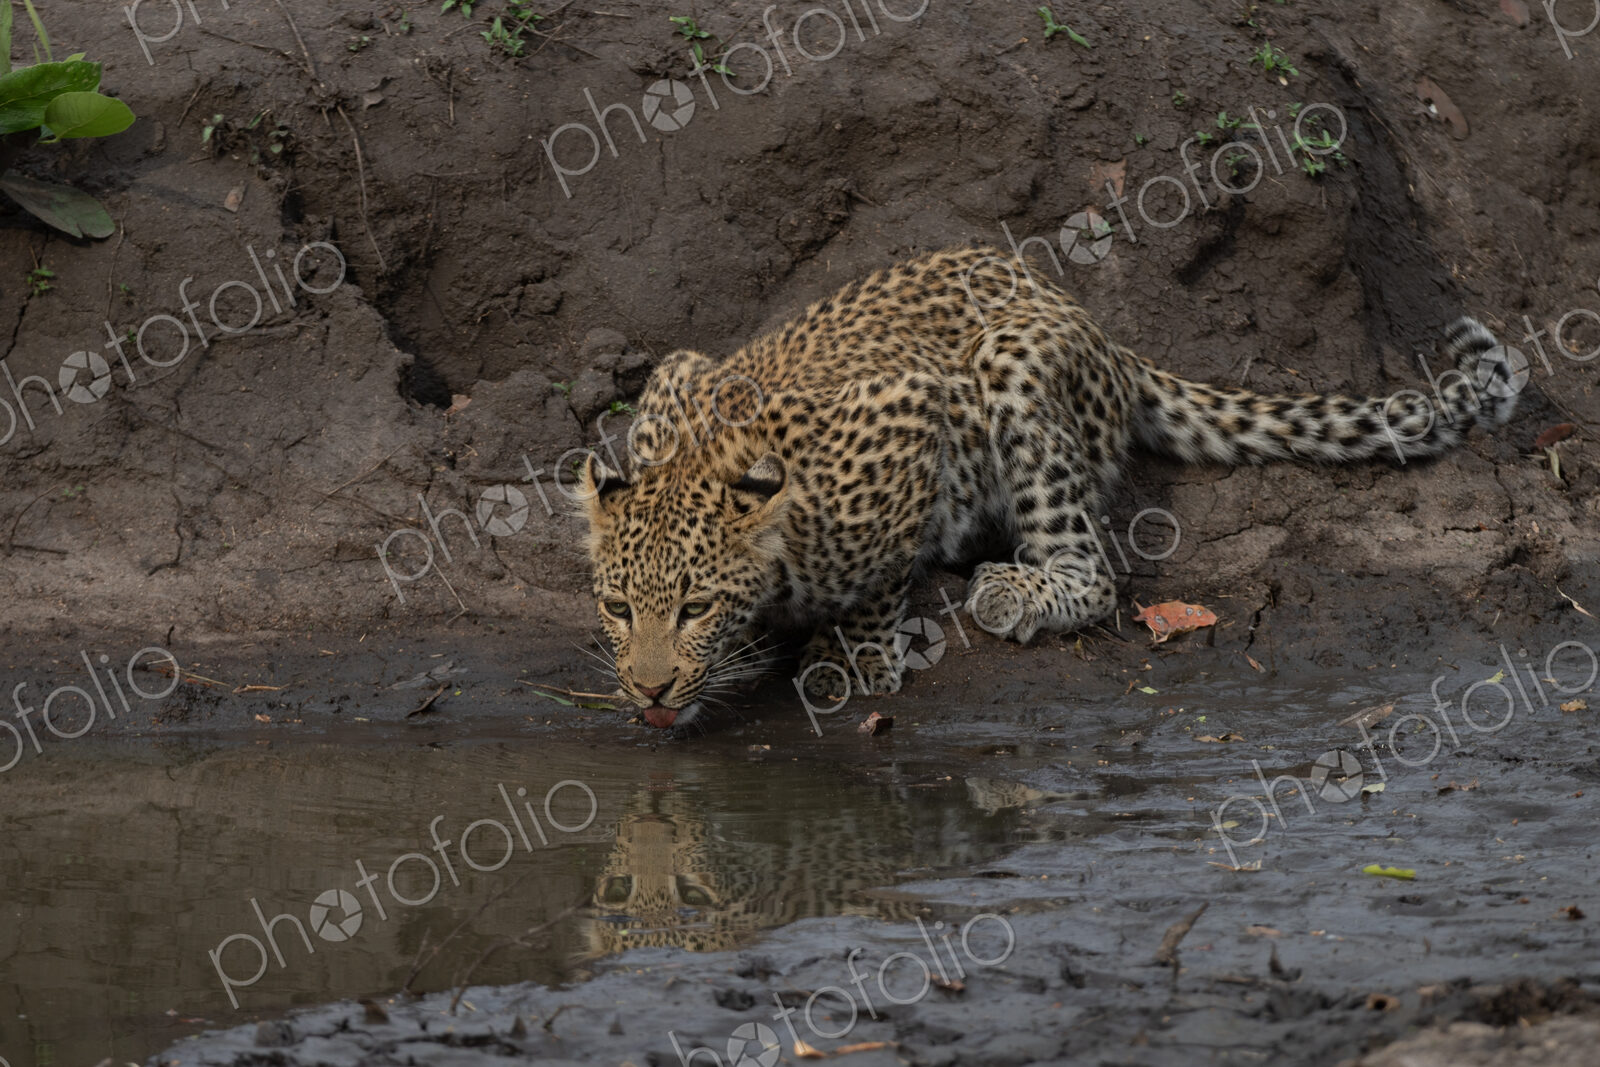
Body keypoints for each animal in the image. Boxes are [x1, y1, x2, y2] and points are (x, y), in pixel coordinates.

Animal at [579, 246, 1519, 731]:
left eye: (696, 607)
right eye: (619, 607)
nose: (648, 689)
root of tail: (1097, 325)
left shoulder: (905, 411)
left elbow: (878, 574)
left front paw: (859, 650)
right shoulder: (676, 375)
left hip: (1014, 360)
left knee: (1094, 572)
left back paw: (1012, 592)